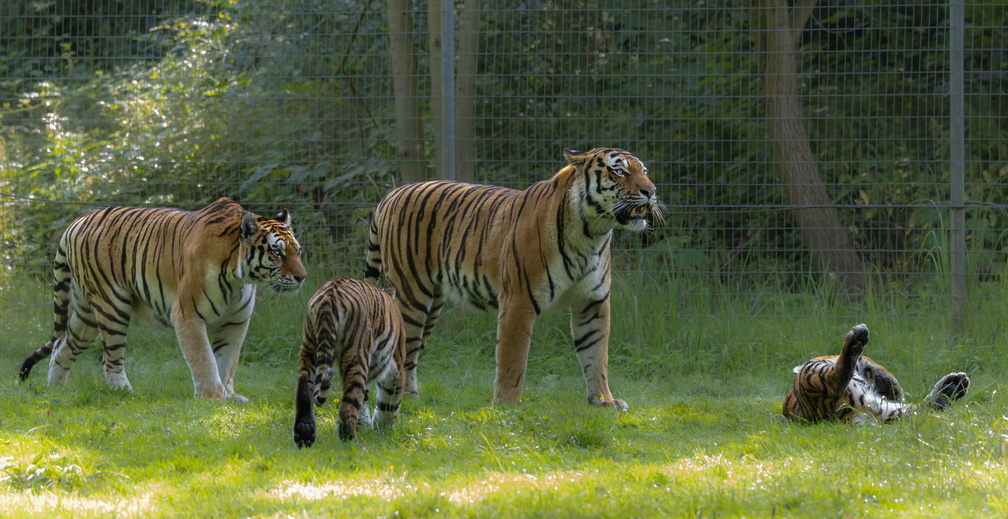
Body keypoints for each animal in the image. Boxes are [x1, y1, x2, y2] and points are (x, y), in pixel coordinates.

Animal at [17, 197, 304, 405]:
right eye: (277, 253)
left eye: (297, 251)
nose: (302, 277)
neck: (238, 278)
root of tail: (77, 220)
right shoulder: (188, 315)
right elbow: (204, 359)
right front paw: (212, 397)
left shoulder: (236, 322)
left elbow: (227, 361)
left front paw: (230, 395)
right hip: (112, 306)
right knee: (110, 360)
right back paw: (125, 392)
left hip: (86, 314)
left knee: (62, 347)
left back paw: (55, 391)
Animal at [366, 147, 657, 411]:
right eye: (619, 171)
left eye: (644, 171)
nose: (651, 192)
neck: (591, 232)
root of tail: (392, 194)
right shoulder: (519, 299)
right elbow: (512, 357)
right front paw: (505, 404)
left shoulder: (593, 302)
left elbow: (596, 355)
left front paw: (604, 401)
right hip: (411, 295)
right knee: (402, 348)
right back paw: (402, 400)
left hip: (431, 303)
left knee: (413, 353)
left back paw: (412, 398)